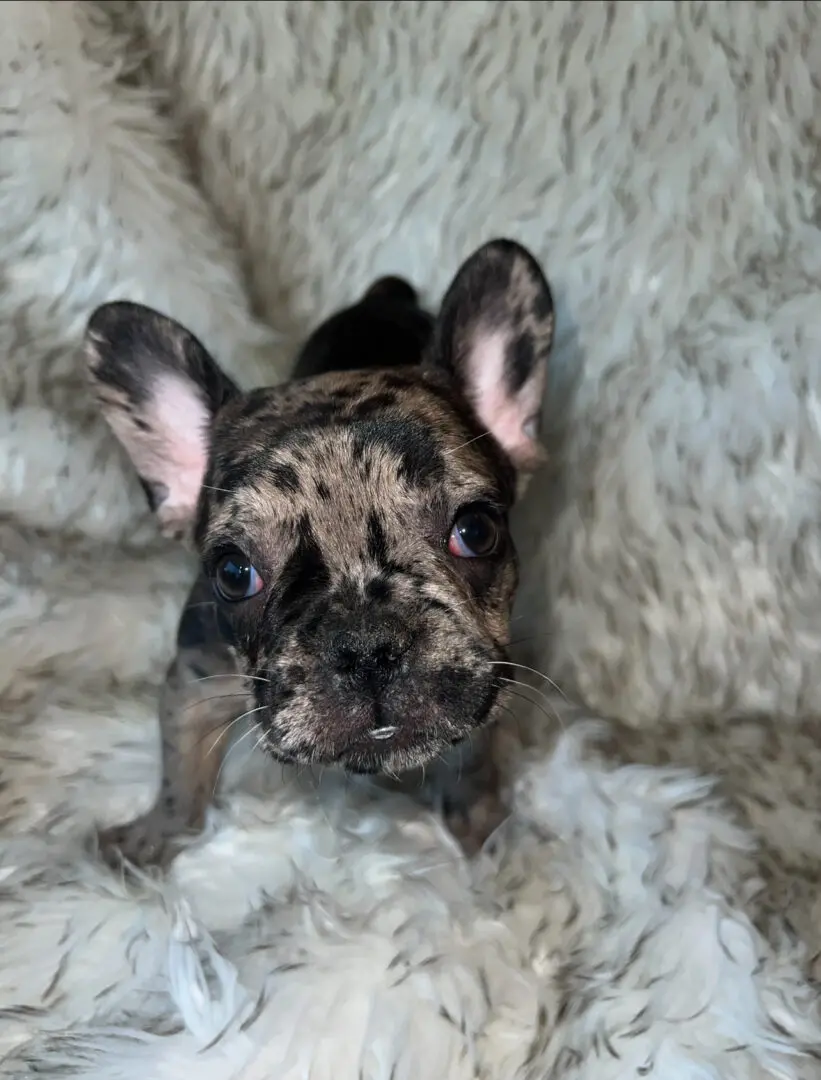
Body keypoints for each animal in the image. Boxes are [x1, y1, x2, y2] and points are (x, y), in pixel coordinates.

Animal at [86, 240, 553, 864]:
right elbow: (180, 774)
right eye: (233, 573)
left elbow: (479, 758)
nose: (368, 645)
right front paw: (153, 839)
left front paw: (483, 829)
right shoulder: (194, 678)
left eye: (476, 531)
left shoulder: (493, 679)